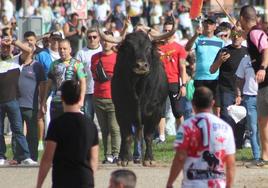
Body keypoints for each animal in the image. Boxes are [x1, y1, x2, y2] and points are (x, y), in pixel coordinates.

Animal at [111, 32, 168, 166]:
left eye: (148, 48)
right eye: (129, 48)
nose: (141, 65)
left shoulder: (156, 111)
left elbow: (148, 136)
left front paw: (149, 159)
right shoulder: (121, 111)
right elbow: (126, 135)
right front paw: (123, 159)